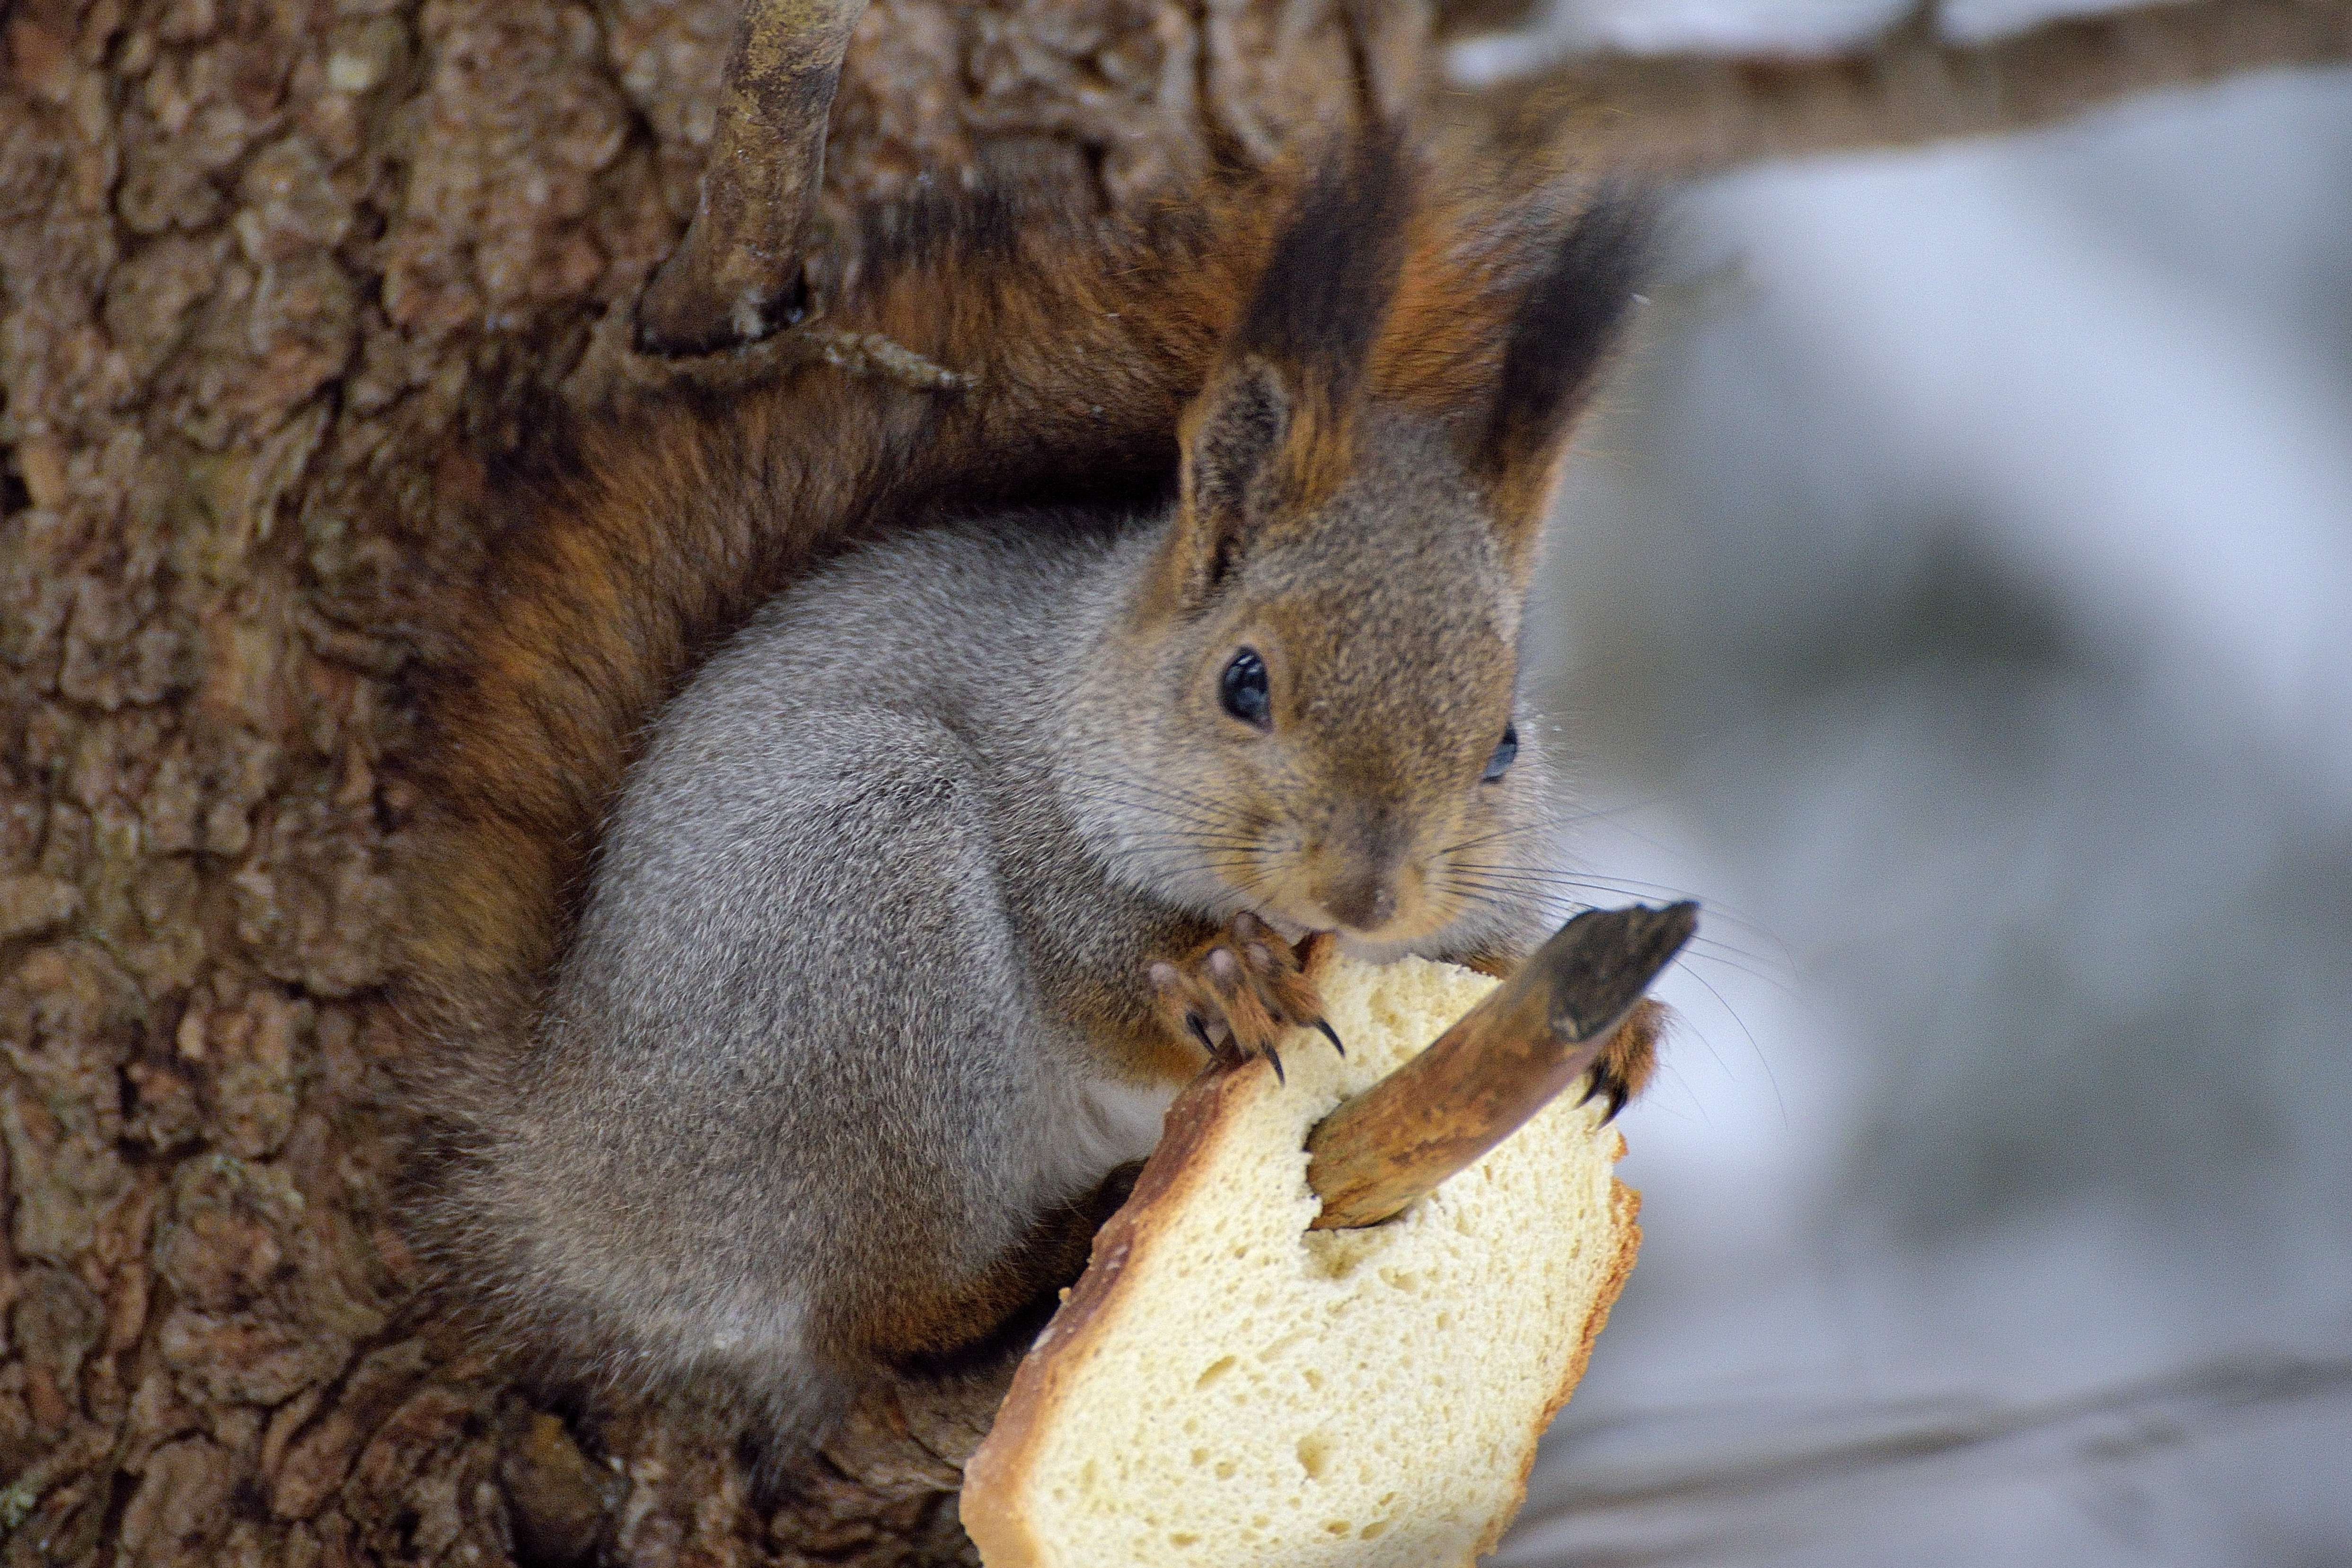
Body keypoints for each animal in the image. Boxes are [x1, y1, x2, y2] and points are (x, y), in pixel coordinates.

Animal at [405, 123, 1656, 1448]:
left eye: (1505, 743)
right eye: (1244, 682)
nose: (1366, 896)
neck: (1082, 685)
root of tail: (574, 1170)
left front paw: (1615, 1022)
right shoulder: (1029, 820)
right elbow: (1088, 978)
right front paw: (1222, 978)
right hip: (852, 928)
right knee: (875, 1309)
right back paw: (1013, 1270)